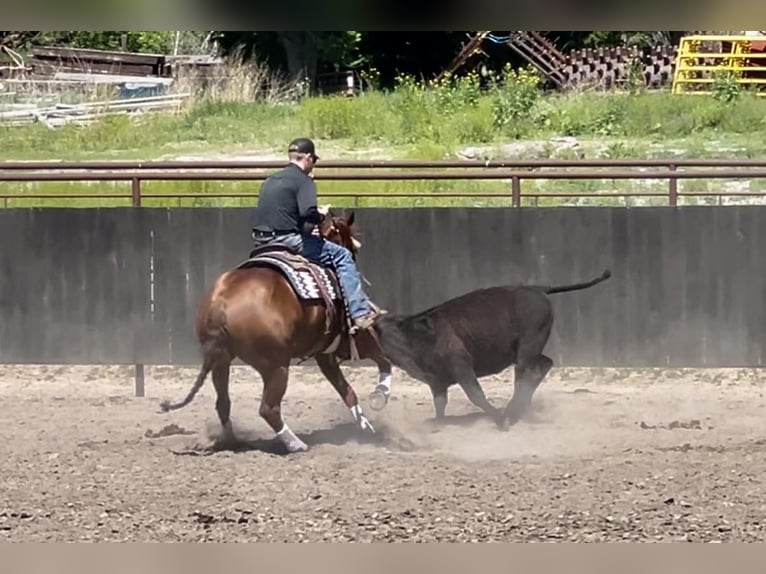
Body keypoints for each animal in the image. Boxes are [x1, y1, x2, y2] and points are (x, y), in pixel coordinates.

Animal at [158, 212, 392, 454]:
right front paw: (380, 395)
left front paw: (364, 424)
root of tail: (220, 304)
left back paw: (231, 441)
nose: (353, 255)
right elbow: (383, 359)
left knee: (223, 403)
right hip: (276, 366)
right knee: (268, 408)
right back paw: (295, 443)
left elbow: (346, 389)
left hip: (220, 362)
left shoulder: (324, 352)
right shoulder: (352, 341)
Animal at [372, 272, 612, 430]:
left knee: (529, 372)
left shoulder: (462, 367)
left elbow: (476, 395)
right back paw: (517, 409)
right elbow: (440, 404)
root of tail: (537, 289)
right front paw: (437, 423)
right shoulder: (436, 382)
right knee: (541, 366)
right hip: (528, 350)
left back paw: (511, 413)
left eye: (395, 326)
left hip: (527, 347)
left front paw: (498, 418)